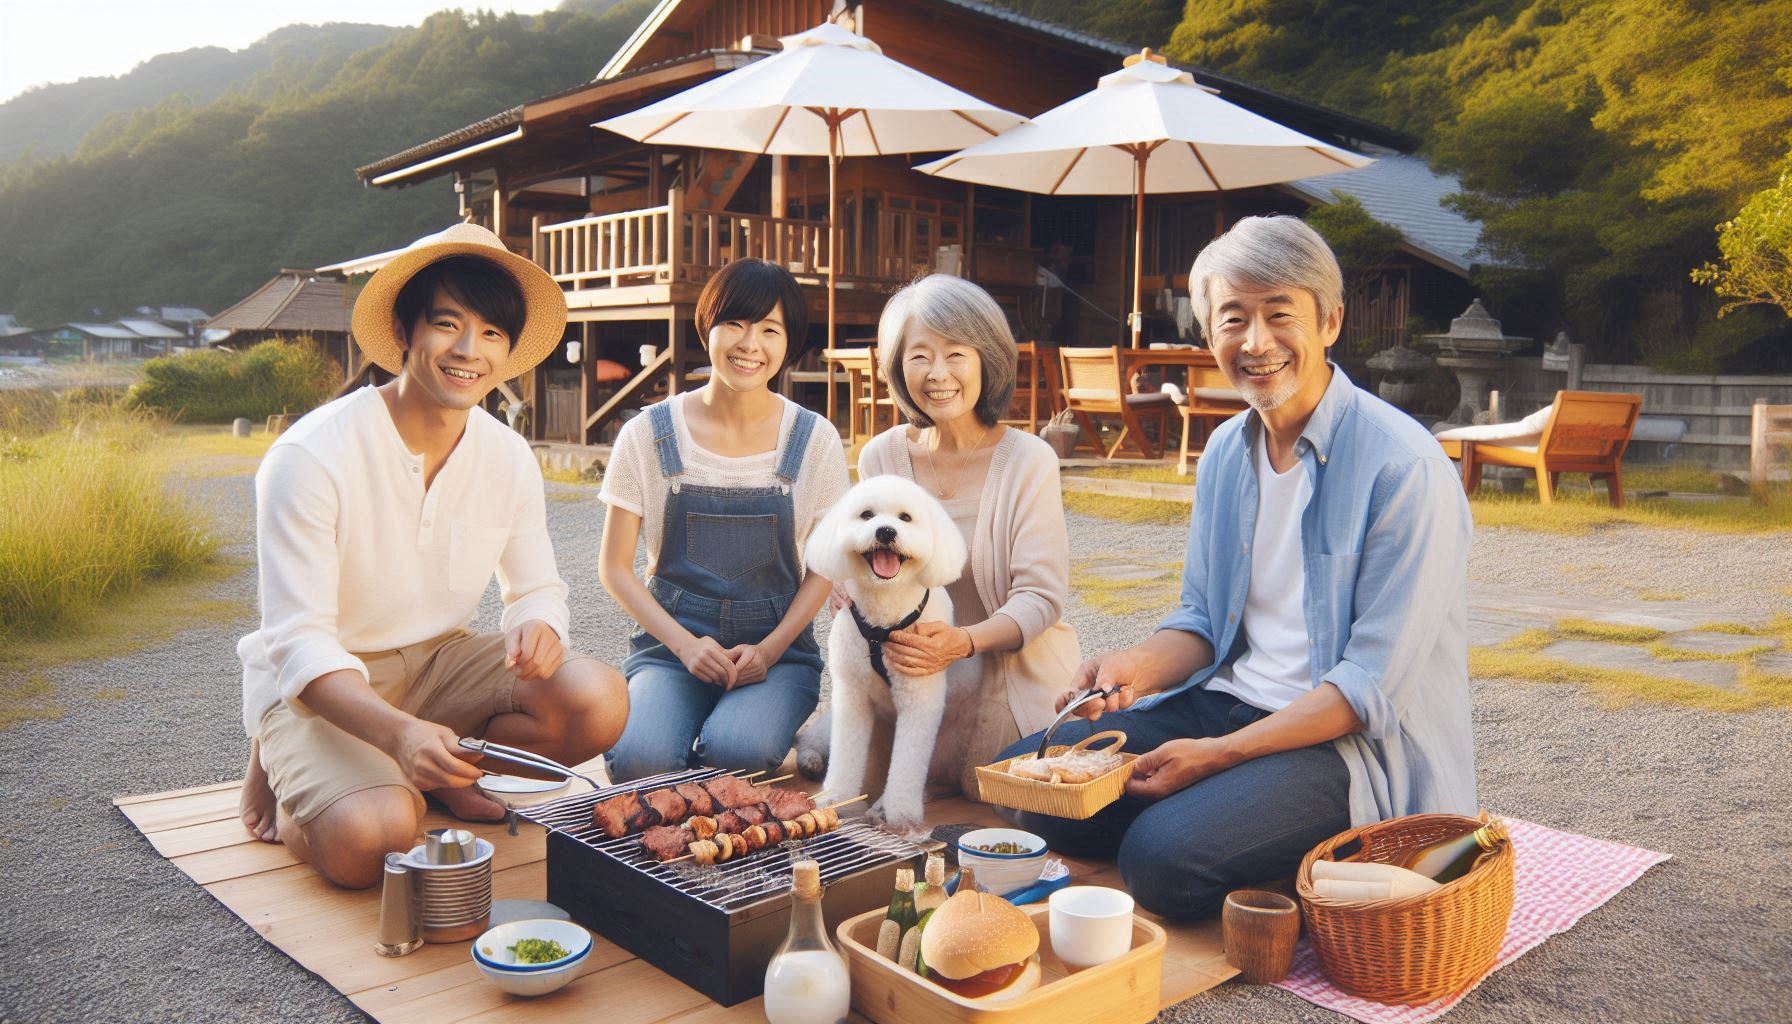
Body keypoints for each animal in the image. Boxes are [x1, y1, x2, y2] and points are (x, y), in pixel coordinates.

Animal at [802, 477, 967, 835]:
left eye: (906, 517)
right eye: (867, 515)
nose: (886, 532)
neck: (883, 622)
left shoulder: (920, 699)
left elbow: (908, 765)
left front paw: (900, 812)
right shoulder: (851, 695)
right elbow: (845, 753)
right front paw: (837, 798)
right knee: (813, 738)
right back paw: (811, 760)